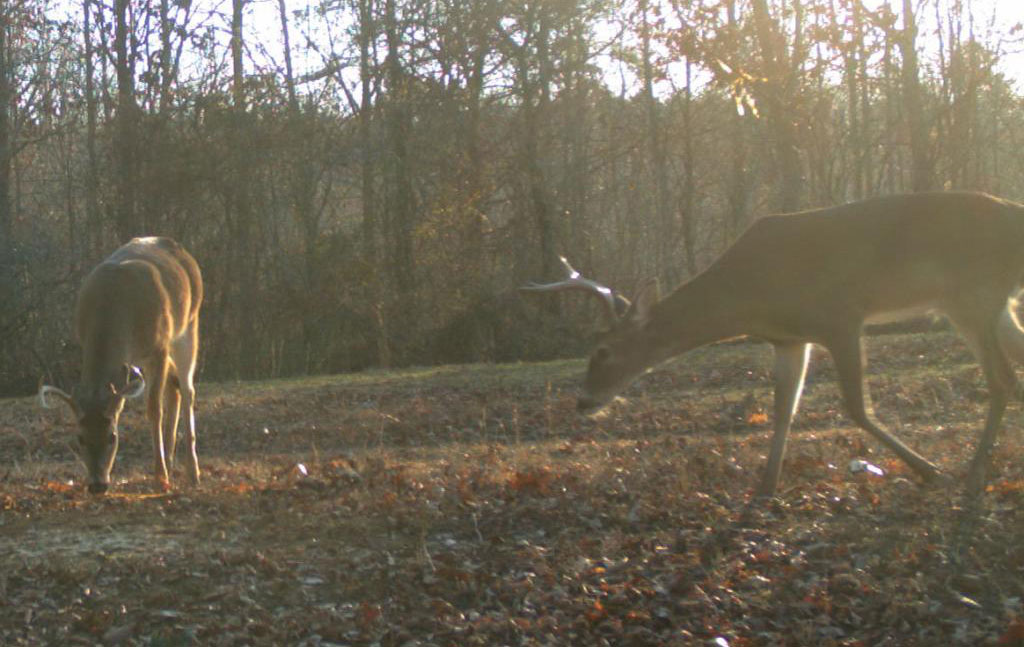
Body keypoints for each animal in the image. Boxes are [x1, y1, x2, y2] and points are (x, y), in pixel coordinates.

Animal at [524, 190, 1024, 495]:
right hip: (991, 304)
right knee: (1013, 373)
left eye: (602, 351)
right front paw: (766, 485)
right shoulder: (788, 339)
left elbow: (856, 408)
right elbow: (784, 408)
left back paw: (973, 474)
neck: (749, 296)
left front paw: (928, 469)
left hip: (972, 295)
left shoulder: (840, 317)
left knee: (1002, 378)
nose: (583, 401)